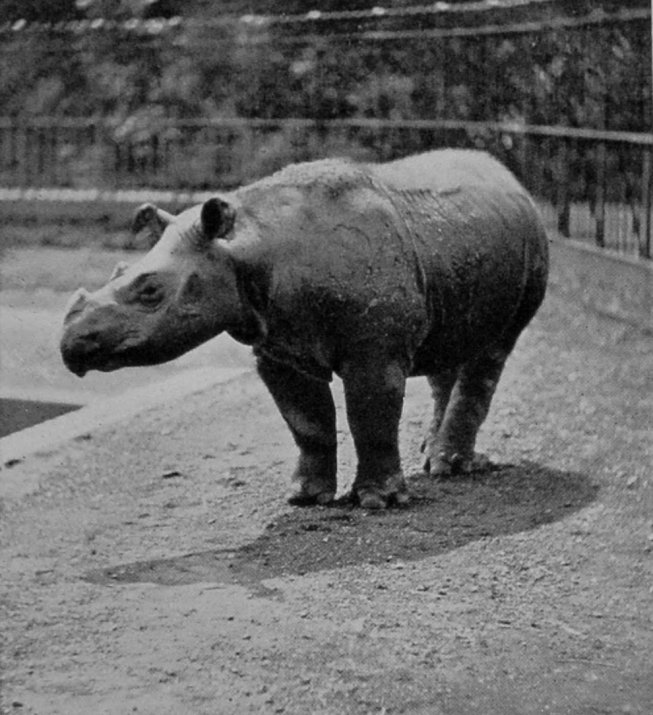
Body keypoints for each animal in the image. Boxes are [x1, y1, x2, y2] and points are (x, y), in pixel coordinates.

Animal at [60, 150, 548, 509]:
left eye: (150, 291)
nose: (71, 347)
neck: (249, 245)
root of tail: (514, 179)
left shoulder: (375, 349)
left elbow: (370, 415)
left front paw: (378, 502)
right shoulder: (276, 343)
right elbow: (305, 420)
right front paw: (305, 498)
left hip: (530, 246)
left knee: (494, 349)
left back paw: (452, 468)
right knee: (448, 351)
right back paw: (433, 457)